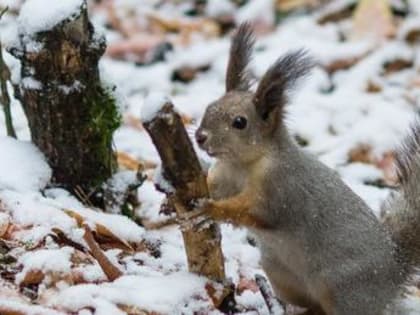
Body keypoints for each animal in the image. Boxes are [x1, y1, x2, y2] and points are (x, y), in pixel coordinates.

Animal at [193, 23, 420, 315]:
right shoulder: (223, 177)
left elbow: (255, 210)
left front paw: (210, 210)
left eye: (239, 122)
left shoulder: (281, 188)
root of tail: (394, 271)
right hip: (281, 273)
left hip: (342, 288)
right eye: (210, 107)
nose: (200, 137)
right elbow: (211, 187)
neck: (241, 165)